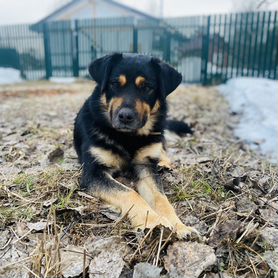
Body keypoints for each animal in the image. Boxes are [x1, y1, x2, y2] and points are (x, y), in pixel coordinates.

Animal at [74, 53, 195, 238]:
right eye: (115, 84)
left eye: (147, 87)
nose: (125, 116)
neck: (127, 137)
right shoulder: (93, 173)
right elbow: (130, 193)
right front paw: (154, 221)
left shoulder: (144, 166)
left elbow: (161, 198)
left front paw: (179, 226)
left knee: (162, 150)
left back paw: (165, 163)